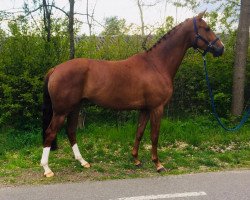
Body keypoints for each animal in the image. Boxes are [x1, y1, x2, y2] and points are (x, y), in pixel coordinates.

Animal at [41, 12, 225, 177]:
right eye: (207, 28)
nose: (221, 48)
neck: (156, 65)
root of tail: (55, 69)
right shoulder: (157, 108)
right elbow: (154, 136)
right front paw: (158, 164)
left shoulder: (145, 109)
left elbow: (139, 133)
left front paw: (136, 160)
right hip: (61, 111)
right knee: (50, 133)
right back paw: (47, 169)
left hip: (75, 108)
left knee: (71, 131)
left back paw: (83, 162)